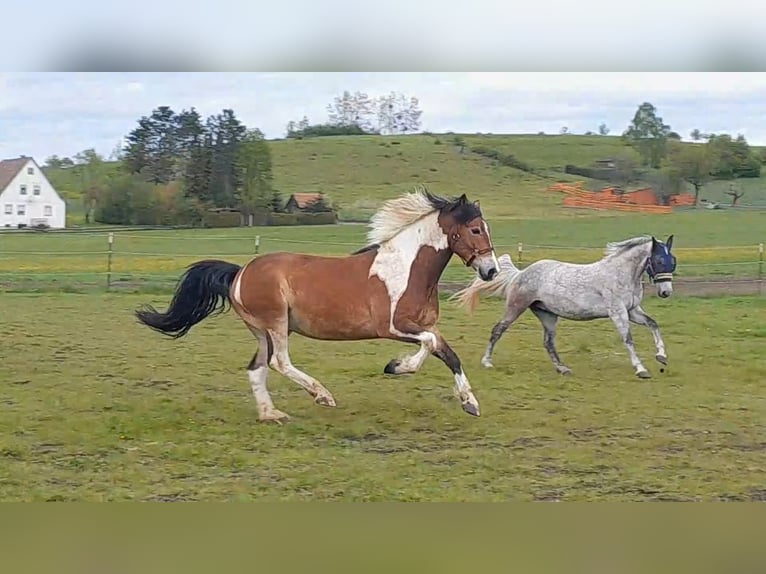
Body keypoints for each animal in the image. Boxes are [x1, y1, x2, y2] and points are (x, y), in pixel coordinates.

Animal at [135, 189, 500, 424]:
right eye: (475, 229)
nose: (491, 270)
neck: (407, 268)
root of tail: (240, 272)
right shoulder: (393, 327)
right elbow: (429, 346)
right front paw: (396, 366)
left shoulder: (426, 324)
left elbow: (447, 353)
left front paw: (470, 403)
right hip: (276, 323)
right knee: (280, 362)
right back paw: (322, 396)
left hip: (261, 330)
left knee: (256, 368)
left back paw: (271, 415)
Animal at [452, 236, 680, 380]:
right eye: (660, 260)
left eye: (673, 261)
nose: (665, 292)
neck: (620, 275)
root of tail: (521, 273)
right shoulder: (618, 312)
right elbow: (628, 339)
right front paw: (641, 369)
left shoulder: (633, 311)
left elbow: (653, 324)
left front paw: (661, 356)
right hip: (516, 307)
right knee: (498, 330)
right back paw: (487, 362)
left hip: (548, 315)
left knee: (548, 342)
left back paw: (563, 369)